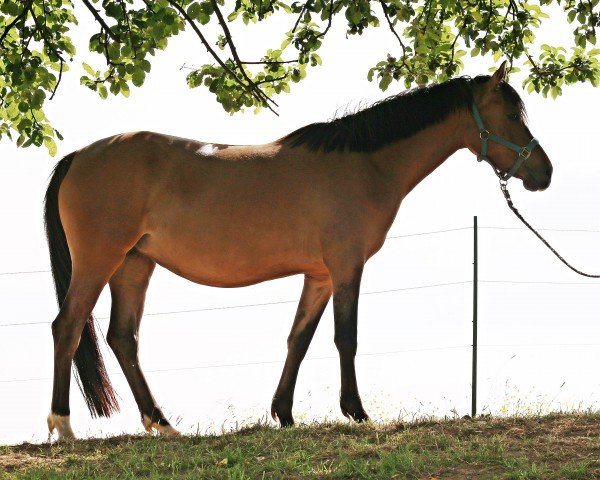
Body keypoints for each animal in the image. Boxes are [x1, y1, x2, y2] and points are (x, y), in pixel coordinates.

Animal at [45, 62, 552, 438]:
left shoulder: (320, 275)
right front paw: (356, 412)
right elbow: (345, 337)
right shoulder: (346, 267)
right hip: (99, 261)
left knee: (122, 338)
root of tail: (79, 156)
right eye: (511, 115)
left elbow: (299, 339)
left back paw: (163, 424)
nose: (544, 173)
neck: (364, 165)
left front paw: (283, 414)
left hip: (134, 265)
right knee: (67, 327)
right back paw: (64, 427)